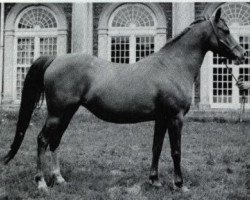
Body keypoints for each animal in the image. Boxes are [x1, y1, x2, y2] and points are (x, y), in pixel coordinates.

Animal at [1, 8, 246, 193]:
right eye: (225, 30)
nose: (241, 54)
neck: (172, 65)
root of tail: (55, 59)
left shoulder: (161, 119)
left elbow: (156, 147)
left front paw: (154, 181)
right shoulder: (175, 118)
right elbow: (176, 151)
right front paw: (179, 184)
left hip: (66, 114)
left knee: (55, 141)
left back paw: (59, 179)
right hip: (57, 114)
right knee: (42, 140)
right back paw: (41, 182)